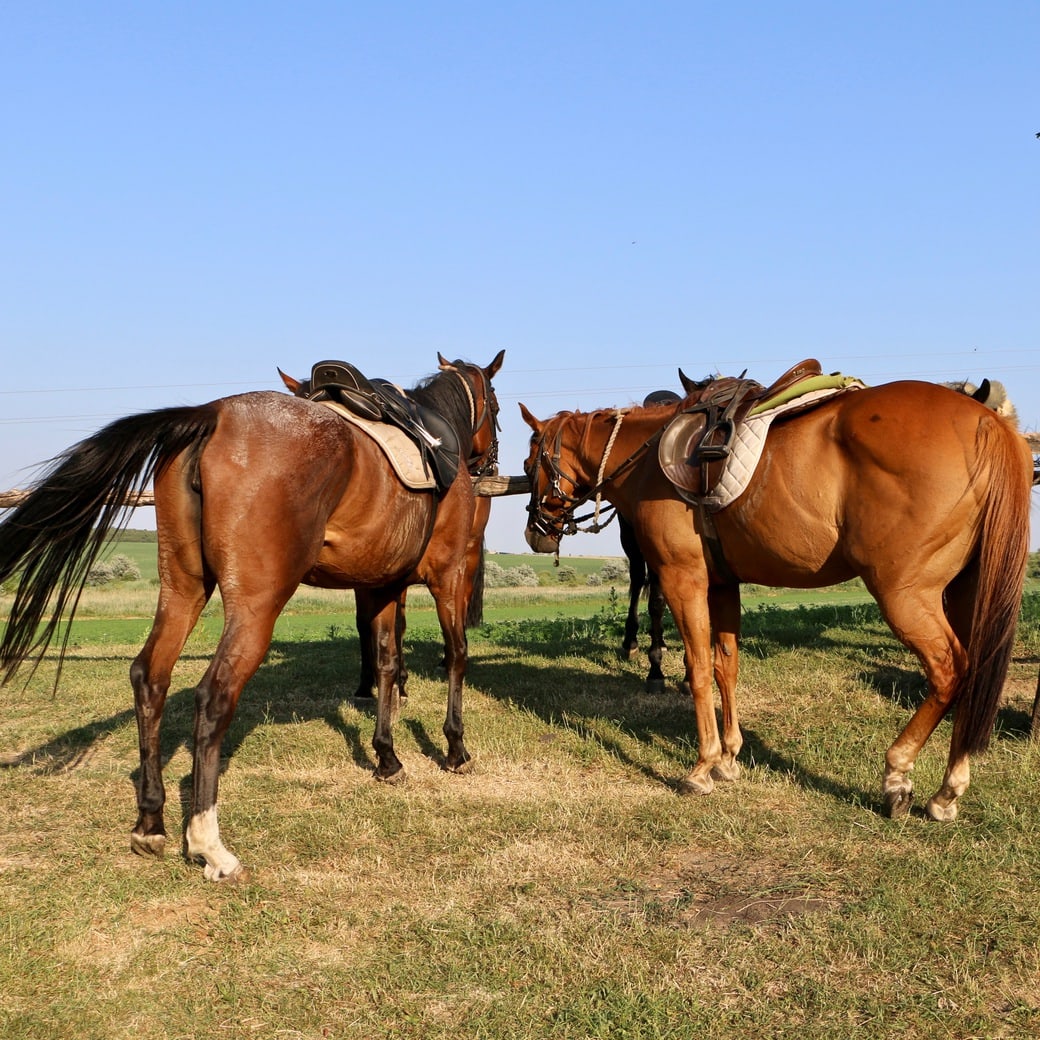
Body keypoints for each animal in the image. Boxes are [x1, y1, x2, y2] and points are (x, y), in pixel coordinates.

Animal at [521, 372, 1032, 821]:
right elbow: (725, 666)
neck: (650, 463)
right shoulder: (723, 584)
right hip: (964, 594)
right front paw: (728, 758)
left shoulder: (683, 580)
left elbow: (698, 669)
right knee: (975, 674)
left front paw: (703, 766)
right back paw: (947, 791)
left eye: (529, 466)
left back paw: (897, 773)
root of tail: (988, 423)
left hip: (905, 596)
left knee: (949, 672)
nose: (535, 532)